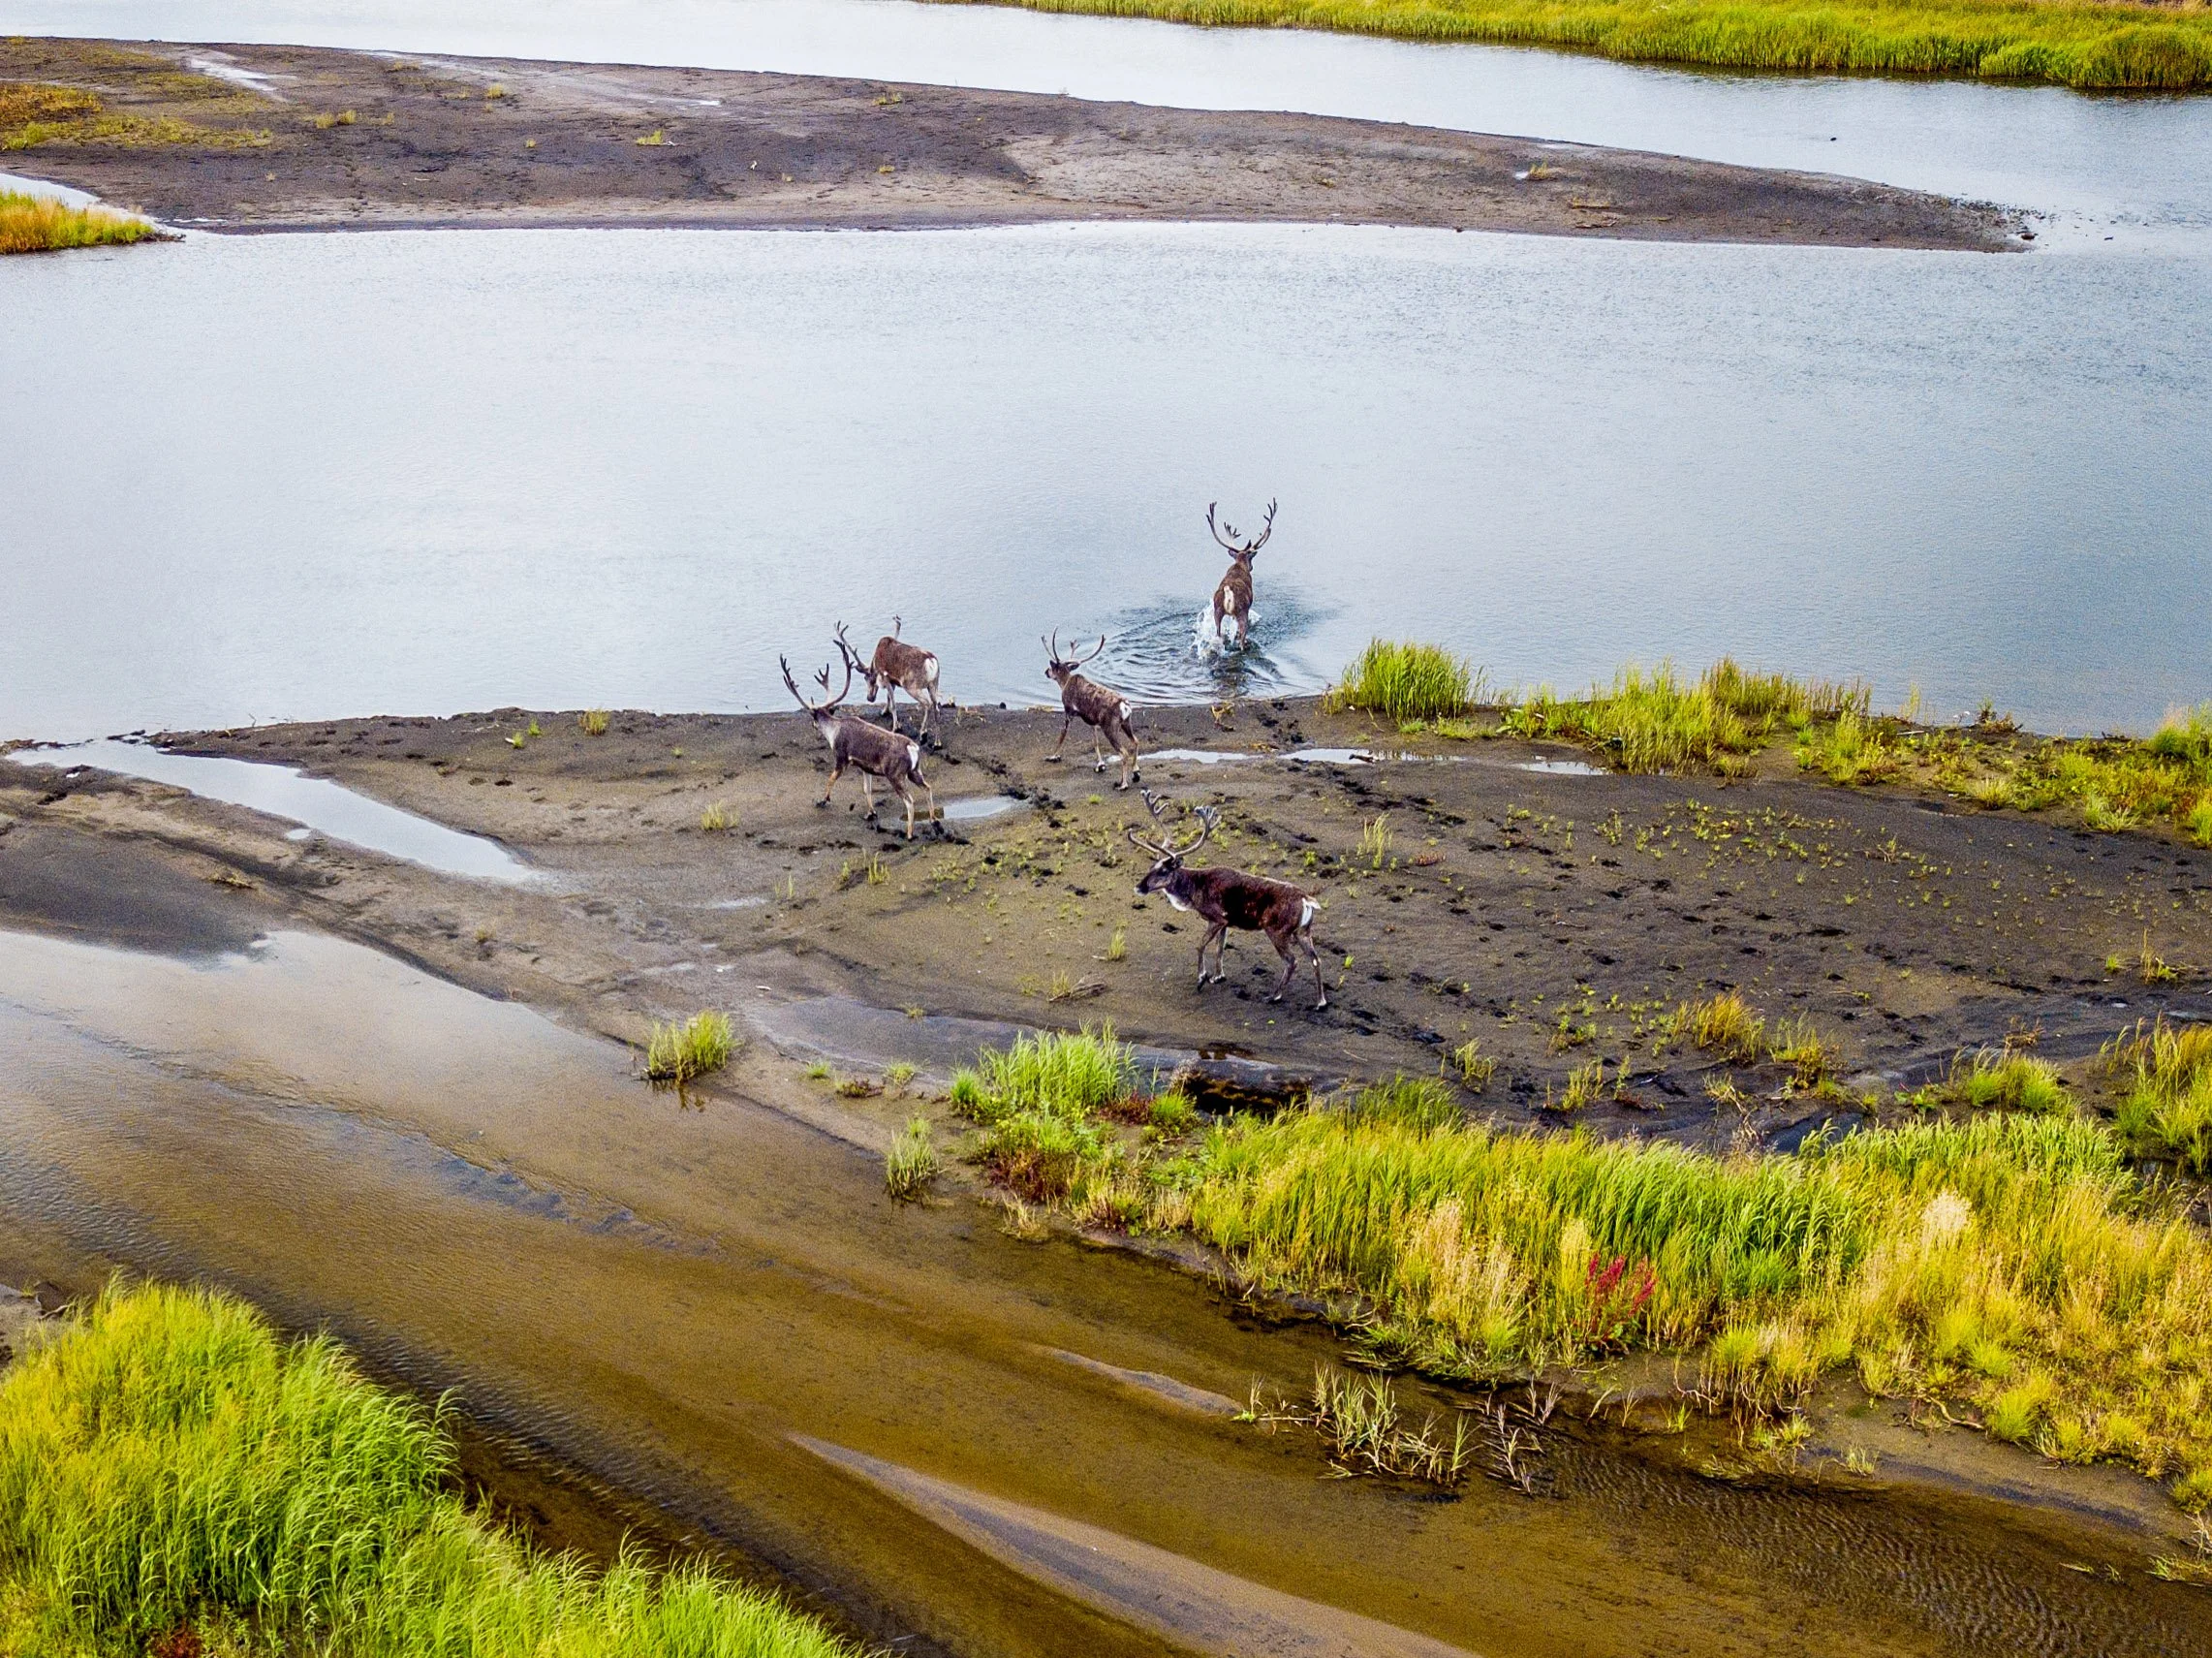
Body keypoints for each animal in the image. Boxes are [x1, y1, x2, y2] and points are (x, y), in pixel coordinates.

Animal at [780, 650, 937, 838]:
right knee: (928, 787)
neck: (833, 731)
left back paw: (909, 833)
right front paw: (871, 813)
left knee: (910, 801)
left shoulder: (842, 758)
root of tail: (912, 748)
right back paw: (934, 821)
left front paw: (823, 800)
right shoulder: (865, 767)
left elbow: (830, 779)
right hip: (914, 771)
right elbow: (866, 789)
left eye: (814, 717)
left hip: (895, 775)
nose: (813, 725)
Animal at [835, 618, 944, 747]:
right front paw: (884, 711)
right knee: (936, 708)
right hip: (933, 683)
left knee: (927, 703)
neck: (875, 664)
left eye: (867, 678)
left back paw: (923, 734)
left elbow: (893, 703)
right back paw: (937, 742)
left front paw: (895, 727)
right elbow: (889, 697)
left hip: (912, 686)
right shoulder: (892, 681)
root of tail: (931, 661)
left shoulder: (885, 677)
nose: (869, 698)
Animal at [1042, 630, 1141, 790]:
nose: (1046, 672)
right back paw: (1136, 773)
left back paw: (1123, 784)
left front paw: (1052, 756)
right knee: (1136, 741)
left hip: (1110, 727)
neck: (1065, 683)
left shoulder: (1068, 711)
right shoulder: (1092, 721)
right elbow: (1095, 741)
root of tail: (1125, 706)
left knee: (1124, 752)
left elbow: (1062, 735)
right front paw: (1100, 764)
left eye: (1052, 667)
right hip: (1126, 723)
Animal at [1129, 791, 1326, 1009]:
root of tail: (1306, 899)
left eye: (1163, 871)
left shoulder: (1217, 918)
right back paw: (1320, 1002)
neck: (1194, 889)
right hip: (1303, 931)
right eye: (1151, 867)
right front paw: (1218, 976)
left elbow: (1201, 945)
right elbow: (1220, 948)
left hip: (1277, 931)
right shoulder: (1226, 923)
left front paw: (1202, 978)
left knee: (1292, 961)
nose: (1139, 887)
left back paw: (1274, 996)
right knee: (1315, 959)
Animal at [1206, 497, 1275, 651]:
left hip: (1217, 610)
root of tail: (1228, 593)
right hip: (1242, 611)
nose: (1252, 567)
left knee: (1218, 633)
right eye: (1251, 559)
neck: (1239, 565)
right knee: (1242, 638)